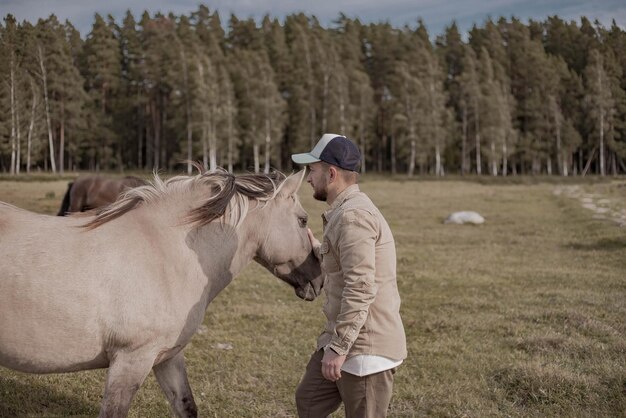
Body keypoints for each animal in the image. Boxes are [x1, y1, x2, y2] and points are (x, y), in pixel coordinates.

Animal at [0, 168, 322, 416]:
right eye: (303, 220)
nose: (318, 280)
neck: (165, 252)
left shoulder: (167, 356)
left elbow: (186, 406)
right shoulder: (131, 361)